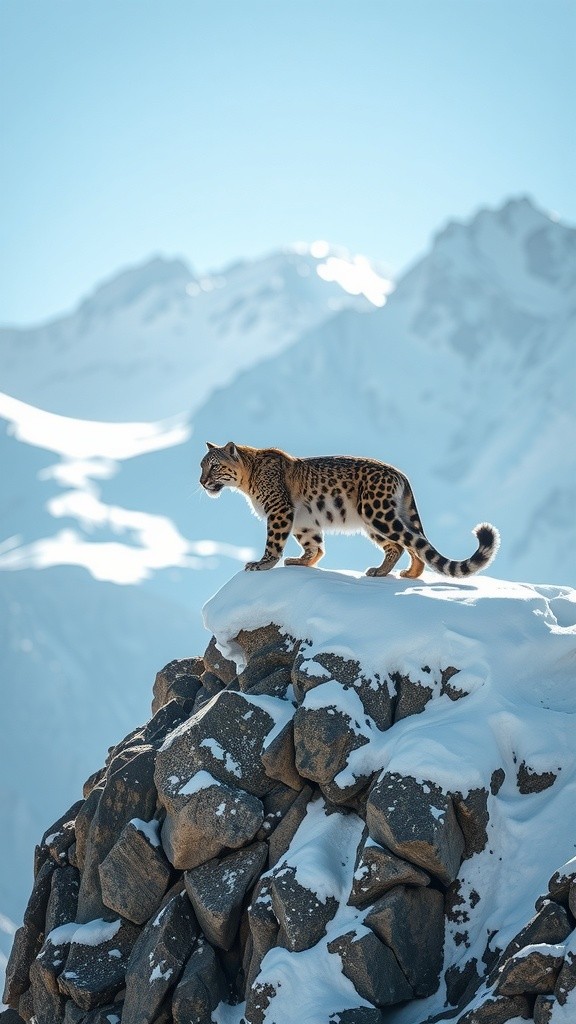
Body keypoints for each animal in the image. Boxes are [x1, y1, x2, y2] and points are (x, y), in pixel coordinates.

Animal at [199, 441, 500, 578]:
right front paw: (303, 561)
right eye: (201, 465)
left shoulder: (279, 511)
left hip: (377, 514)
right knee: (406, 544)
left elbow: (274, 542)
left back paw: (386, 572)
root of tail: (400, 474)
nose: (201, 481)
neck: (247, 481)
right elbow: (314, 545)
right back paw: (402, 573)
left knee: (409, 541)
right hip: (376, 520)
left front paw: (263, 564)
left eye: (213, 466)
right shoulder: (303, 520)